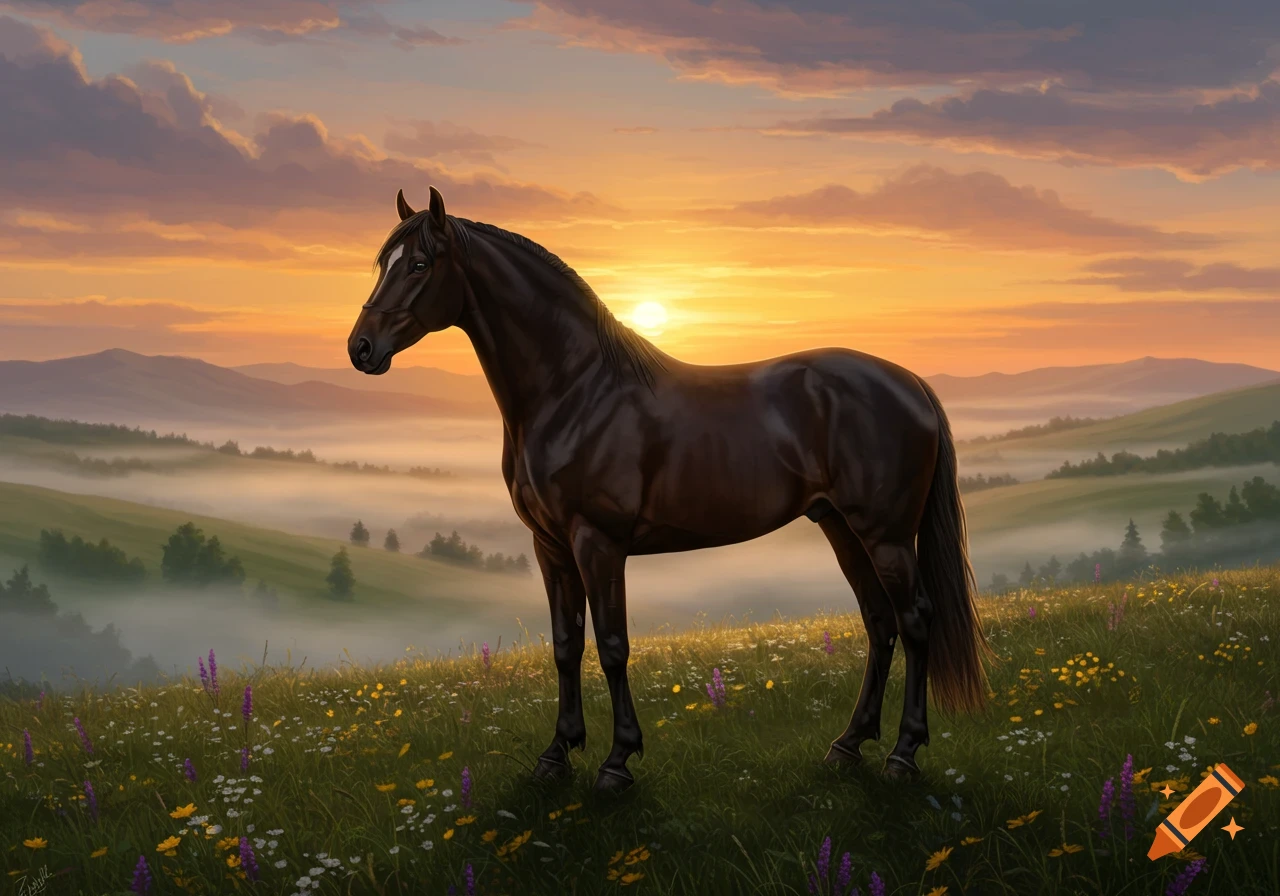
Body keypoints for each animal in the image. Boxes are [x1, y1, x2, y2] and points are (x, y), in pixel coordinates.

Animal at [347, 187, 991, 792]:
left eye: (420, 264)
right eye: (383, 262)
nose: (361, 348)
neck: (574, 390)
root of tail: (909, 383)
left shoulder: (598, 543)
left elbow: (611, 645)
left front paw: (617, 762)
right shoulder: (550, 547)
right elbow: (564, 646)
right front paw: (556, 755)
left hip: (885, 535)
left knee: (914, 620)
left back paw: (903, 754)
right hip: (840, 527)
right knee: (879, 623)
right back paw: (847, 746)